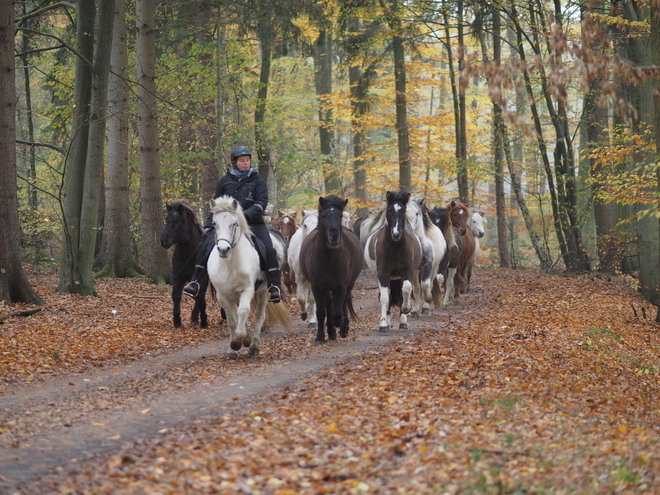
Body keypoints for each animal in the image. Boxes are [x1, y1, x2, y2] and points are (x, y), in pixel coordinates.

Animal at [160, 202, 209, 330]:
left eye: (177, 221)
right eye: (167, 219)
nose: (163, 241)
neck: (189, 255)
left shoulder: (202, 279)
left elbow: (200, 299)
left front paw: (204, 322)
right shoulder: (178, 277)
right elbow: (176, 296)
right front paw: (177, 321)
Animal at [206, 196, 288, 358]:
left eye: (234, 223)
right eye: (214, 224)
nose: (223, 249)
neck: (229, 264)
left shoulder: (247, 290)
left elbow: (244, 311)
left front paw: (238, 341)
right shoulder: (223, 295)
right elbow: (232, 320)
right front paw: (233, 348)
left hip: (263, 291)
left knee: (259, 316)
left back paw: (253, 346)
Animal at [300, 194, 360, 344]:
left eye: (340, 215)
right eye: (324, 215)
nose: (334, 237)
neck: (328, 258)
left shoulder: (341, 286)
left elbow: (338, 312)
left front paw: (341, 326)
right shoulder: (317, 286)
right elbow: (321, 312)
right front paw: (320, 337)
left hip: (348, 285)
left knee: (343, 305)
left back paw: (342, 328)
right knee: (328, 305)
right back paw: (331, 331)